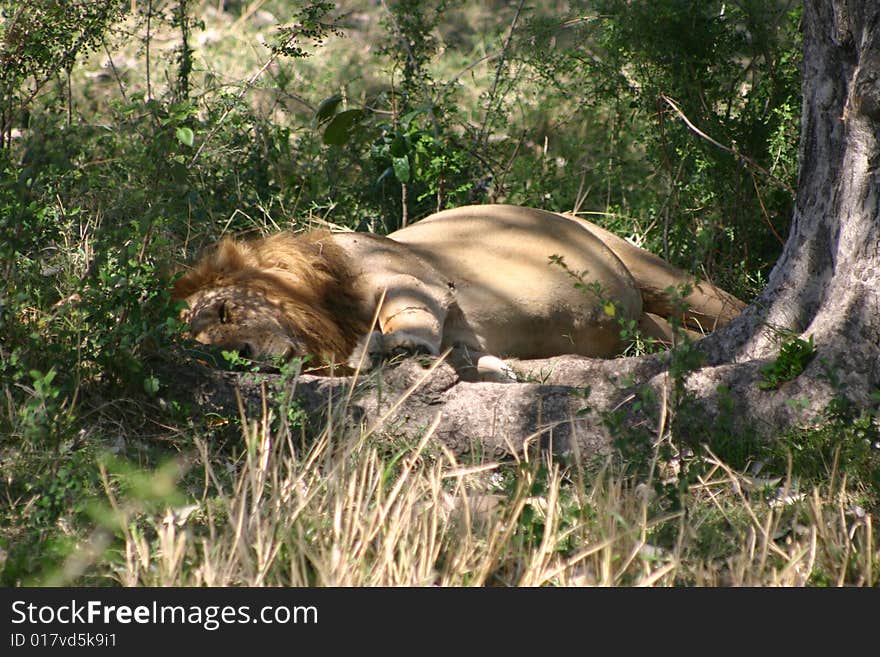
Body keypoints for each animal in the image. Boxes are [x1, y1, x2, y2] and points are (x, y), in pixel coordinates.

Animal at [170, 204, 744, 380]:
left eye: (225, 312)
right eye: (203, 350)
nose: (241, 357)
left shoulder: (413, 281)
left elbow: (408, 321)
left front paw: (387, 350)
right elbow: (469, 358)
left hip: (660, 275)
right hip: (646, 322)